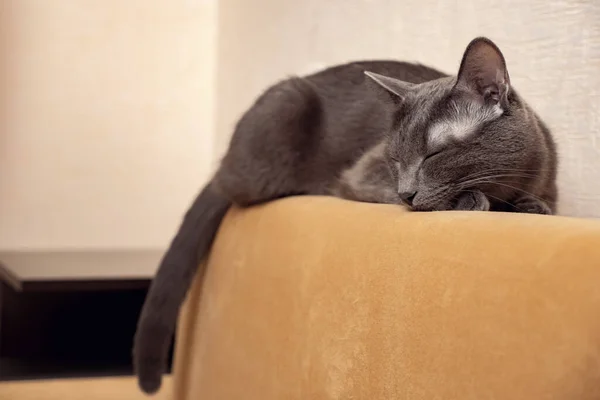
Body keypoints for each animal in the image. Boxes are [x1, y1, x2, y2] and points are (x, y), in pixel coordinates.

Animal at [134, 37, 556, 394]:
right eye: (394, 158)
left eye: (434, 154)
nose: (406, 191)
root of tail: (221, 168)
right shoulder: (362, 175)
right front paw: (473, 200)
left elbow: (541, 202)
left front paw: (532, 207)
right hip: (283, 112)